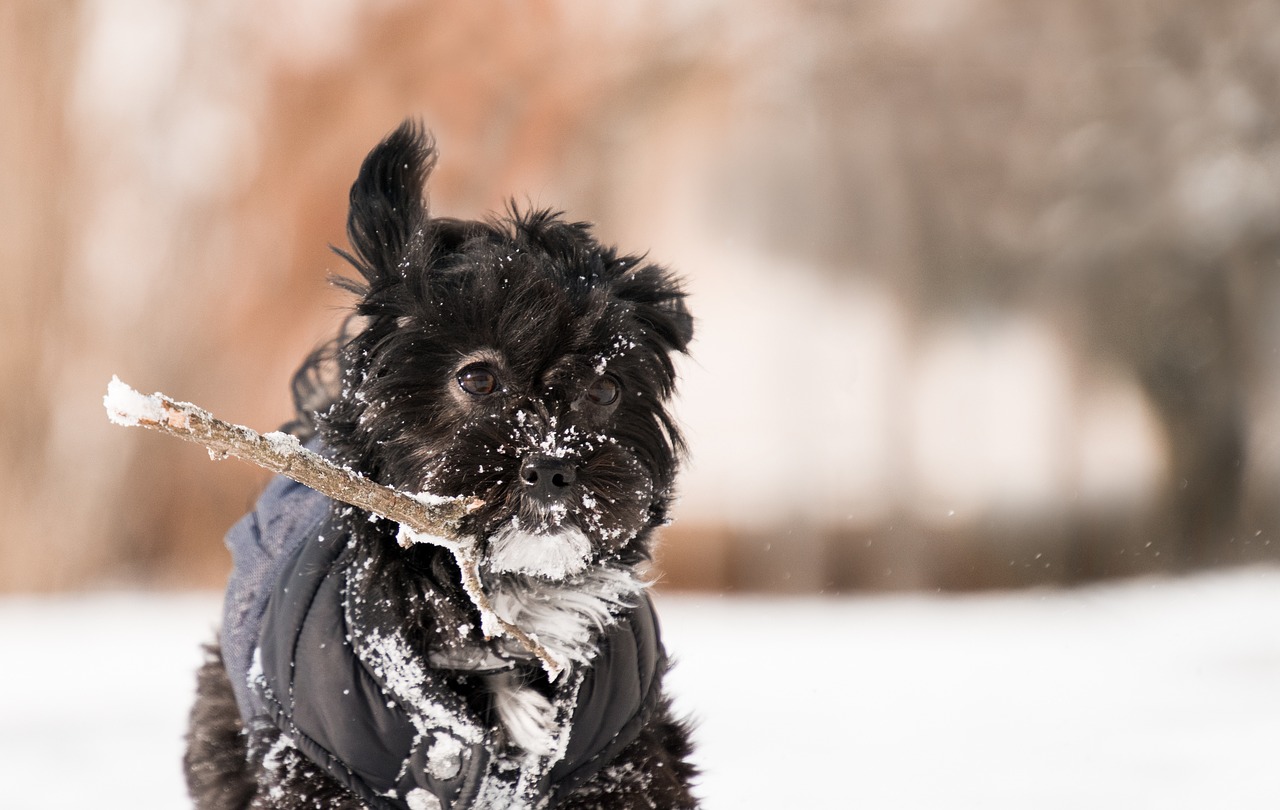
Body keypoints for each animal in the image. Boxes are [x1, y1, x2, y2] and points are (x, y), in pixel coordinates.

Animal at [180, 121, 701, 808]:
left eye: (606, 389)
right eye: (476, 378)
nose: (552, 467)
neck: (503, 616)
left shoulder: (626, 758)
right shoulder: (314, 764)